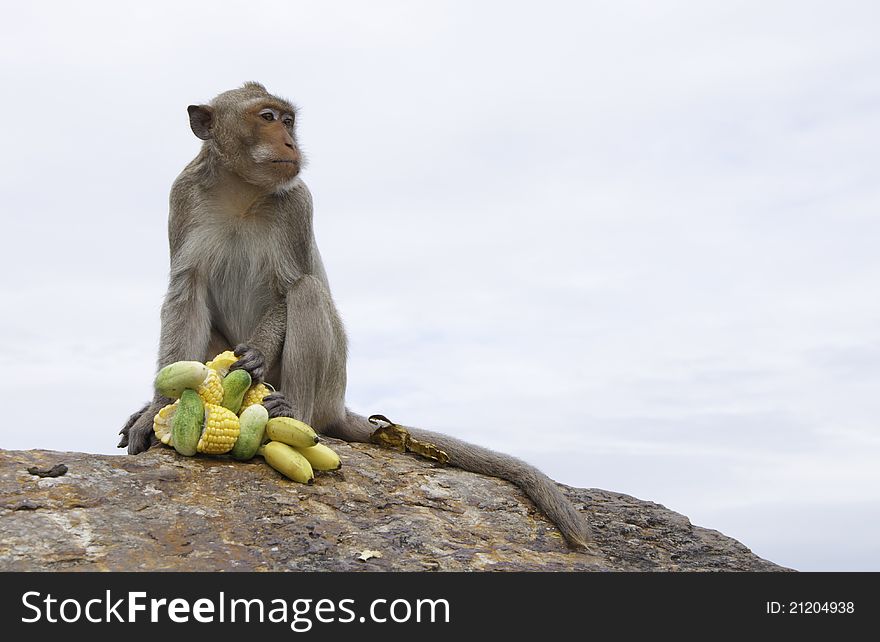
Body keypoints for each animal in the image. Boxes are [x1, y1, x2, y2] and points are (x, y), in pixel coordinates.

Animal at [120, 82, 592, 548]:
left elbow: (289, 288)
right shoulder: (183, 196)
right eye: (267, 118)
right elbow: (186, 294)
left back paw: (293, 413)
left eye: (287, 120)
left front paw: (255, 355)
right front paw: (158, 409)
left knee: (308, 293)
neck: (241, 190)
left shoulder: (298, 204)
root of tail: (335, 407)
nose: (290, 142)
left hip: (329, 384)